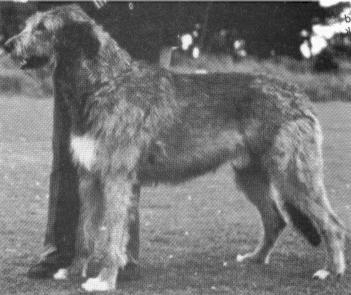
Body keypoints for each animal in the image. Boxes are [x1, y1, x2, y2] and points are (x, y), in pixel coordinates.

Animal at [5, 4, 346, 294]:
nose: (7, 45)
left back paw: (331, 271)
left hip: (293, 174)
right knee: (275, 219)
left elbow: (114, 234)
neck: (104, 82)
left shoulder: (116, 178)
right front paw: (75, 270)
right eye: (29, 25)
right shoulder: (89, 177)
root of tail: (299, 94)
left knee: (332, 224)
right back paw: (256, 257)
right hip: (250, 174)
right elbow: (84, 233)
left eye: (42, 28)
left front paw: (104, 279)